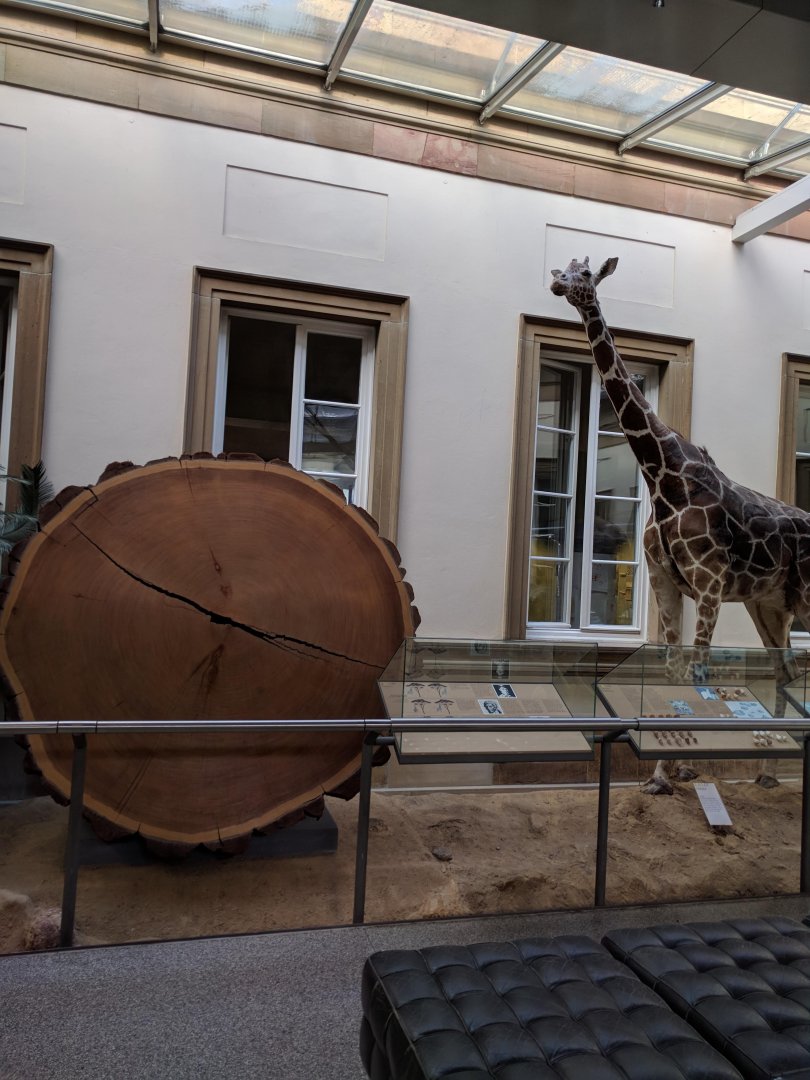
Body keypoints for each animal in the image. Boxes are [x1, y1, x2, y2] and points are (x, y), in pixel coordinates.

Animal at [549, 256, 810, 794]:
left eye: (586, 272)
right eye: (565, 266)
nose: (557, 283)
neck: (662, 473)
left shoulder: (709, 583)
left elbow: (698, 671)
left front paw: (690, 763)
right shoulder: (664, 579)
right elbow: (670, 671)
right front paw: (662, 773)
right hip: (770, 605)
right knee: (787, 670)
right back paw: (768, 774)